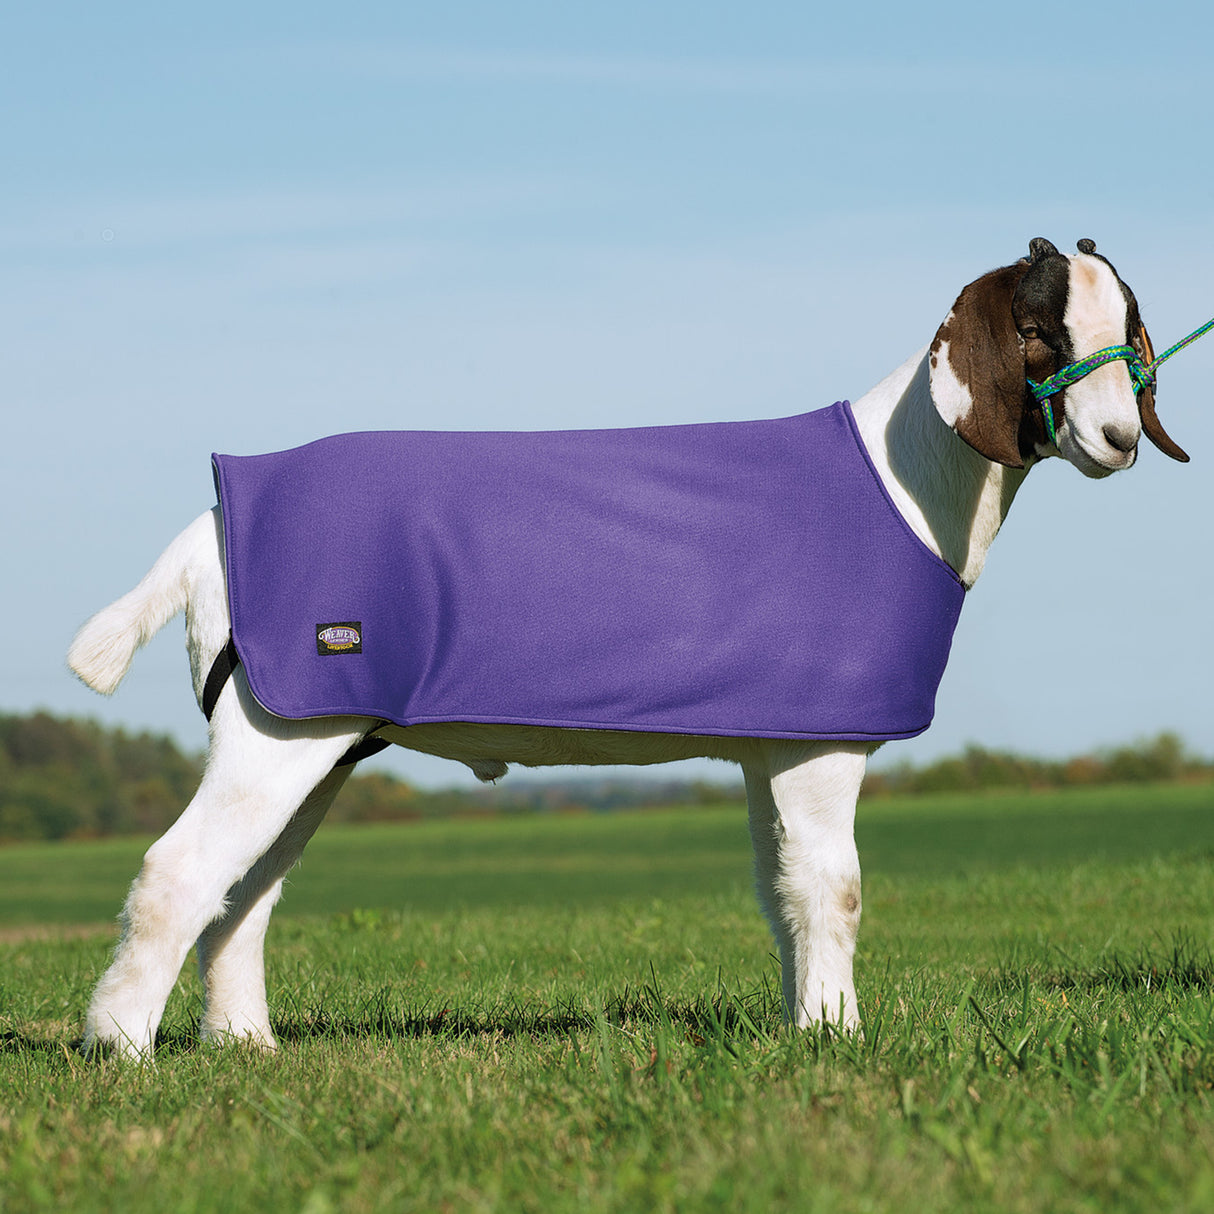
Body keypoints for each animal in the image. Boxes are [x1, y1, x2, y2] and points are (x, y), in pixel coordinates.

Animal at [68, 237, 1188, 1058]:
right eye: (1035, 329)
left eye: (1129, 332)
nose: (1117, 440)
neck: (900, 476)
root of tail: (213, 520)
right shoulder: (824, 746)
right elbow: (834, 888)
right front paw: (839, 1036)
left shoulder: (773, 741)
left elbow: (782, 892)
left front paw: (803, 1028)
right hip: (278, 730)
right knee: (178, 872)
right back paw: (120, 1051)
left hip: (313, 734)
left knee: (244, 890)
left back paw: (244, 1046)